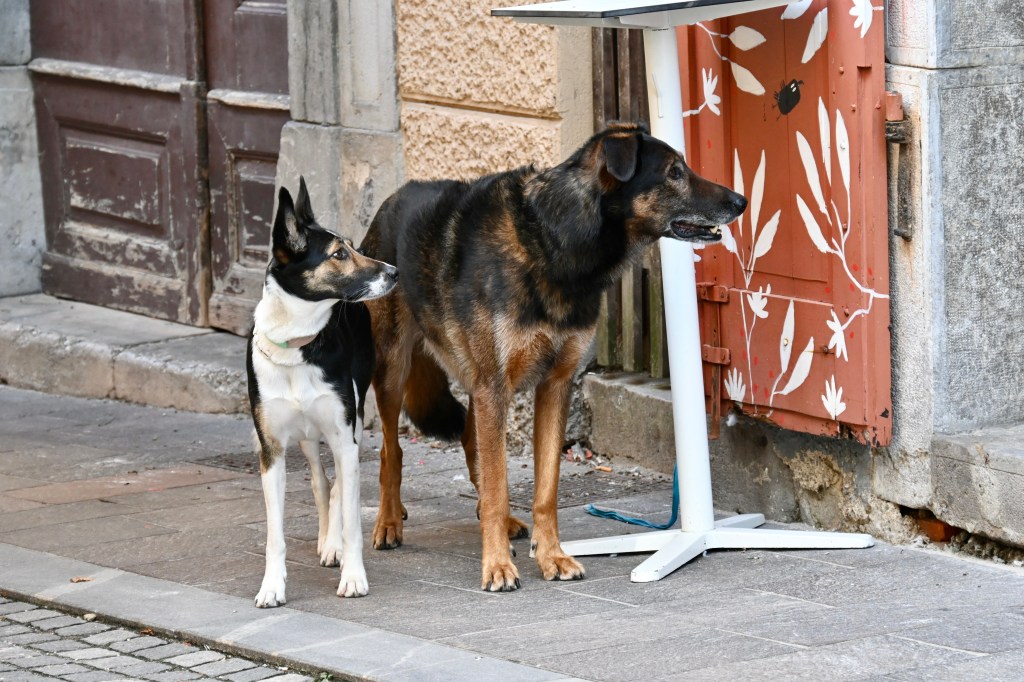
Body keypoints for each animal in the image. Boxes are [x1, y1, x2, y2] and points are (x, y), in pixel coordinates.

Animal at [248, 178, 398, 607]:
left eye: (353, 247)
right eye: (338, 254)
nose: (394, 272)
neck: (299, 344)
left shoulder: (344, 435)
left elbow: (351, 520)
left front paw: (353, 576)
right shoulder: (271, 451)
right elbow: (274, 535)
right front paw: (272, 586)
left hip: (355, 419)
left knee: (339, 489)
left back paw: (333, 546)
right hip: (306, 440)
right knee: (320, 481)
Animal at [361, 122, 747, 591]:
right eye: (674, 172)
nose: (741, 202)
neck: (557, 240)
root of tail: (391, 200)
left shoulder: (553, 386)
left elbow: (543, 490)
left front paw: (551, 556)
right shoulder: (495, 386)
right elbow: (498, 484)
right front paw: (496, 566)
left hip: (474, 383)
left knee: (472, 443)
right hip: (395, 369)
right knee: (391, 451)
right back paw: (388, 522)